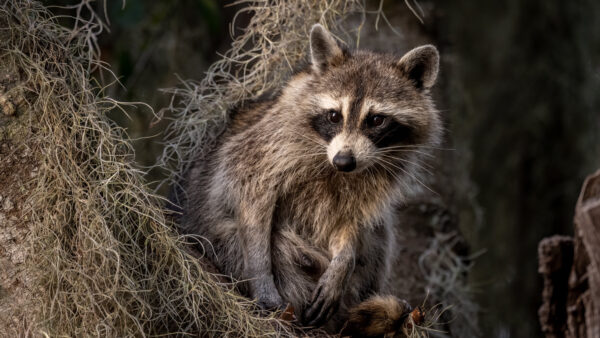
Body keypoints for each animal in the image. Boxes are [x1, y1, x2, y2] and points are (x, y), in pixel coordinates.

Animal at [178, 24, 440, 336]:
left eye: (376, 120)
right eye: (334, 116)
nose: (344, 161)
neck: (332, 165)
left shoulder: (367, 184)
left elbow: (350, 222)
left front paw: (343, 263)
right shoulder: (264, 149)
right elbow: (252, 201)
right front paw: (260, 277)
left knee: (379, 235)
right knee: (269, 246)